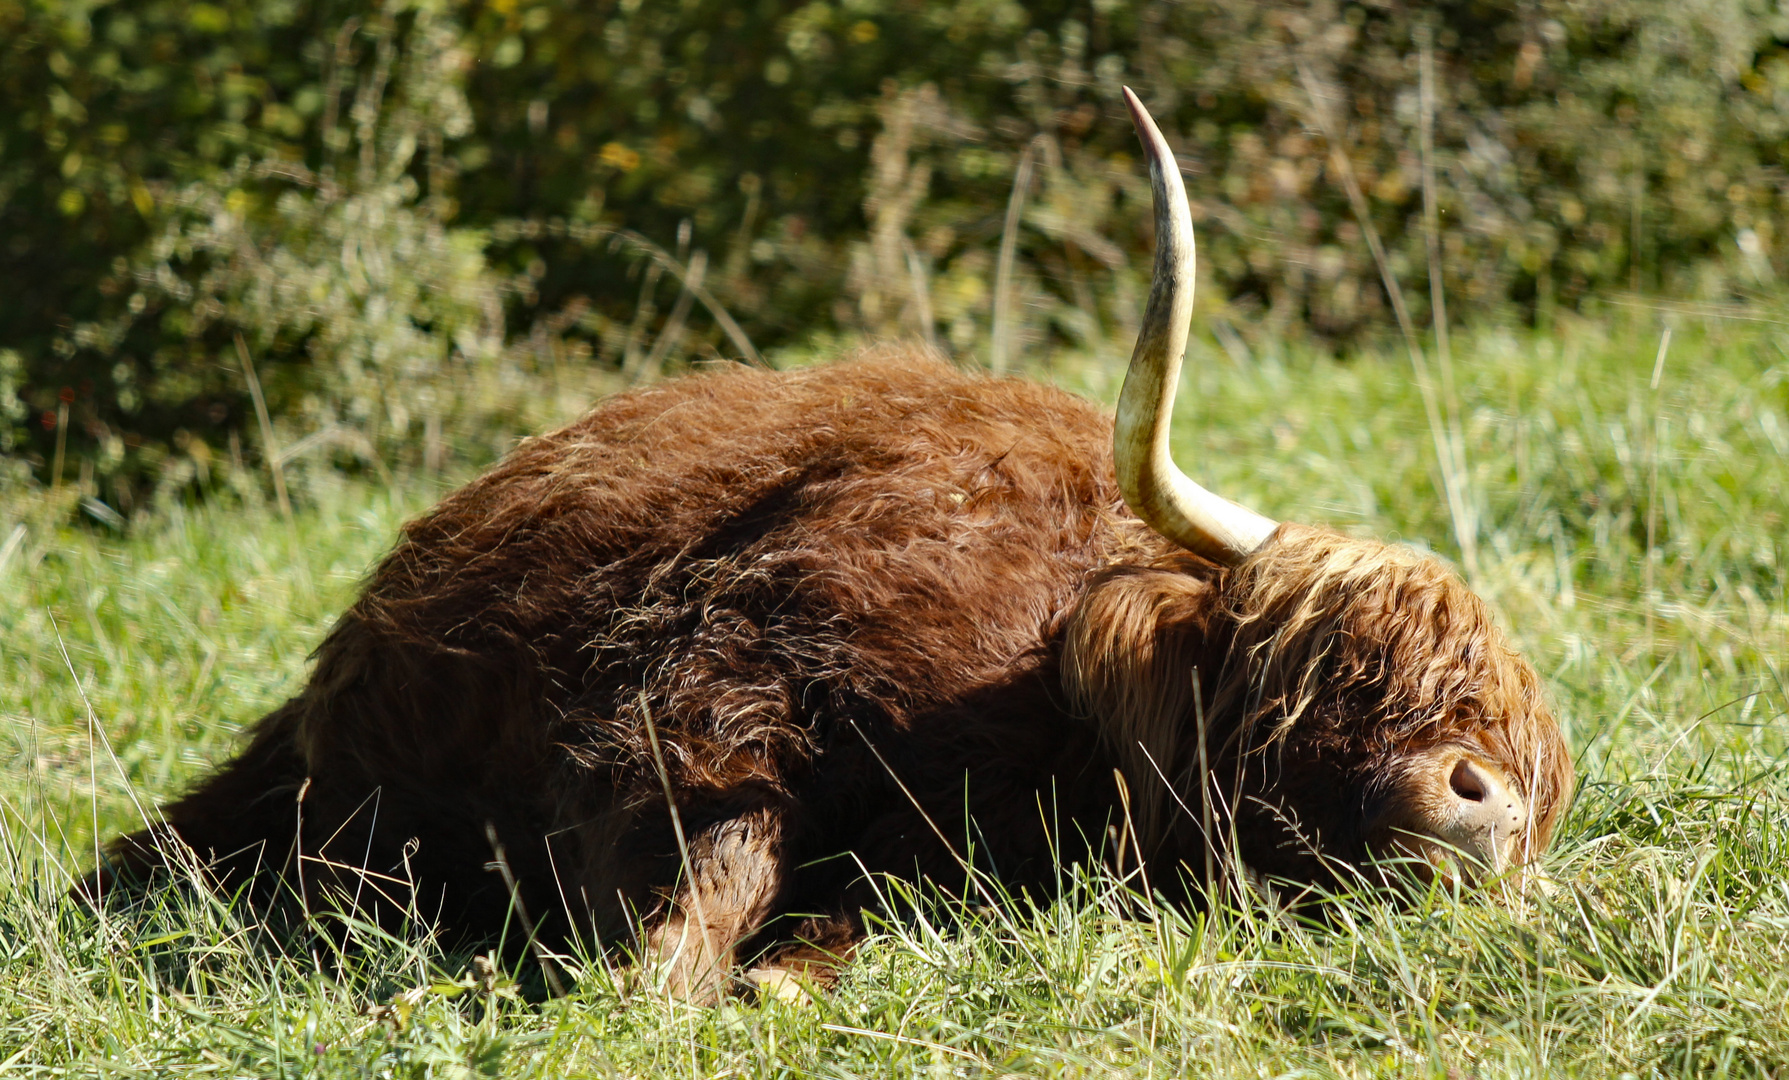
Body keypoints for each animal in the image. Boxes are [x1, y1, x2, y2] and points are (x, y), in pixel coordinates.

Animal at [84, 92, 1574, 1001]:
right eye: (1341, 668)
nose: (1479, 807)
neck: (1034, 698)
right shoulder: (706, 685)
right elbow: (705, 876)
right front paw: (656, 986)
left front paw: (775, 974)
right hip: (308, 787)